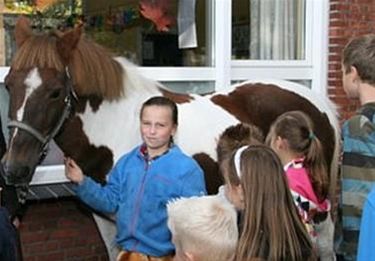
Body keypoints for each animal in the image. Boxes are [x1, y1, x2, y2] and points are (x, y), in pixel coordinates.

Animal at [0, 16, 340, 260]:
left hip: (317, 212)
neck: (115, 128)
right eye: (8, 84)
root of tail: (317, 102)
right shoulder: (106, 218)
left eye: (56, 92)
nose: (14, 169)